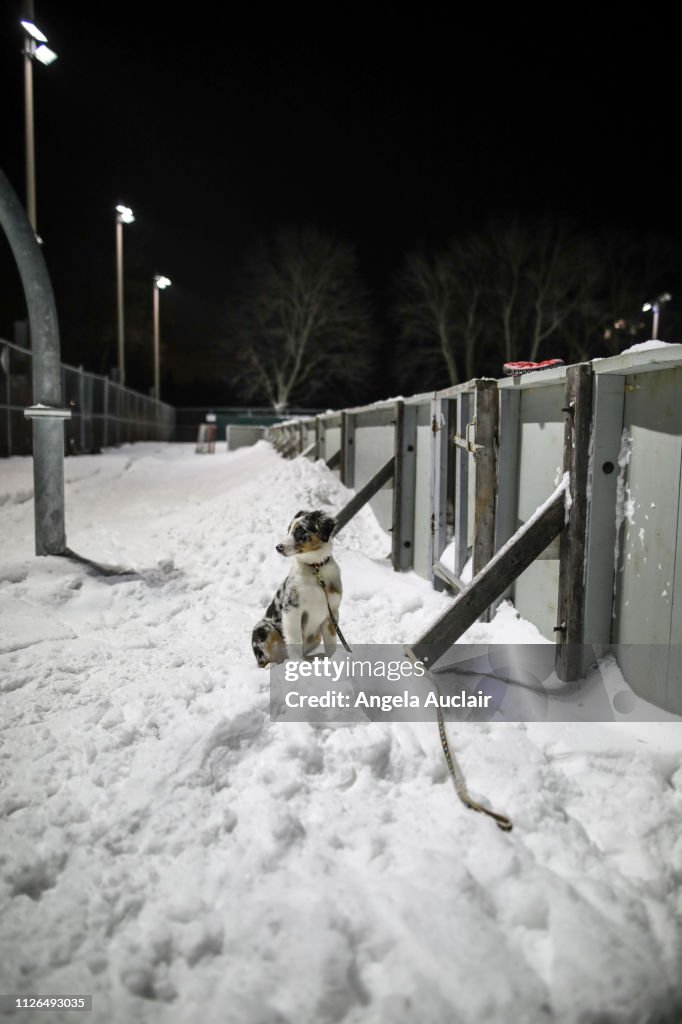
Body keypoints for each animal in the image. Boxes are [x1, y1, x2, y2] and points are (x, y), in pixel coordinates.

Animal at [250, 507, 339, 667]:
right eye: (288, 530)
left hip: (315, 638)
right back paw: (272, 665)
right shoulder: (292, 610)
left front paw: (333, 659)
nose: (278, 547)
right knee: (263, 661)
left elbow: (331, 641)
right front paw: (298, 663)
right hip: (263, 628)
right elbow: (295, 639)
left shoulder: (332, 612)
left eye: (300, 530)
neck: (315, 568)